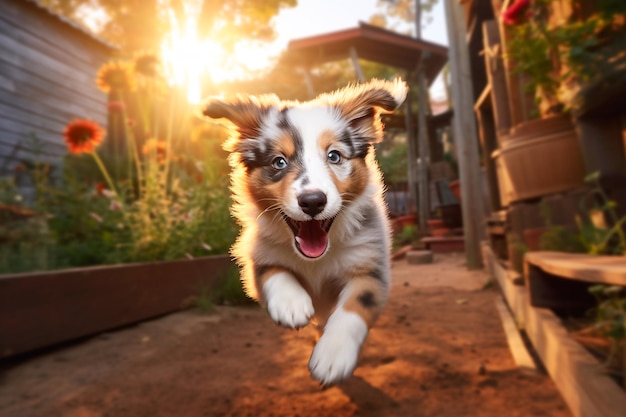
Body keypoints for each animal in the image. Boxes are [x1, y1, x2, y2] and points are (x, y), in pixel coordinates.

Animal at [199, 79, 404, 386]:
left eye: (334, 156)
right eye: (279, 162)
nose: (312, 201)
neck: (316, 258)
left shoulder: (371, 266)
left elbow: (355, 304)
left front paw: (333, 356)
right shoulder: (257, 256)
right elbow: (274, 272)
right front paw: (291, 304)